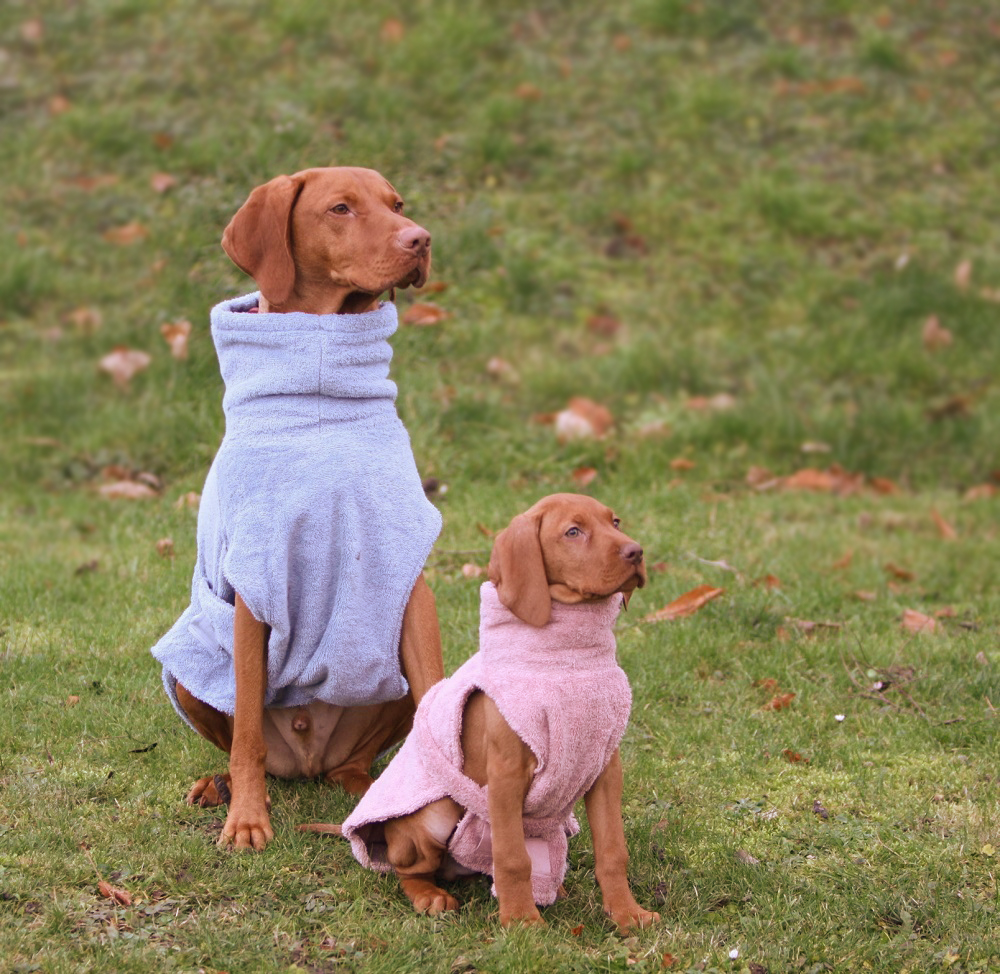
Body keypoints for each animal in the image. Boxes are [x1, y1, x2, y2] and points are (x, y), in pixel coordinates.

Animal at [149, 170, 442, 856]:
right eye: (340, 208)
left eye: (398, 206)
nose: (420, 240)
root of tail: (308, 764)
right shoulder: (256, 579)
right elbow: (249, 734)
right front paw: (247, 821)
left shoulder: (409, 578)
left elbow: (439, 696)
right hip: (189, 667)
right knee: (241, 740)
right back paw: (221, 787)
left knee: (358, 761)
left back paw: (367, 789)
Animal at [304, 500, 664, 936]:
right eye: (573, 532)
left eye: (615, 522)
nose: (636, 552)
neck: (568, 663)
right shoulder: (506, 775)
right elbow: (512, 858)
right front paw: (522, 921)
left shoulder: (604, 768)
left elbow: (613, 850)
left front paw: (627, 913)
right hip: (435, 817)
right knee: (407, 869)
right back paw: (431, 896)